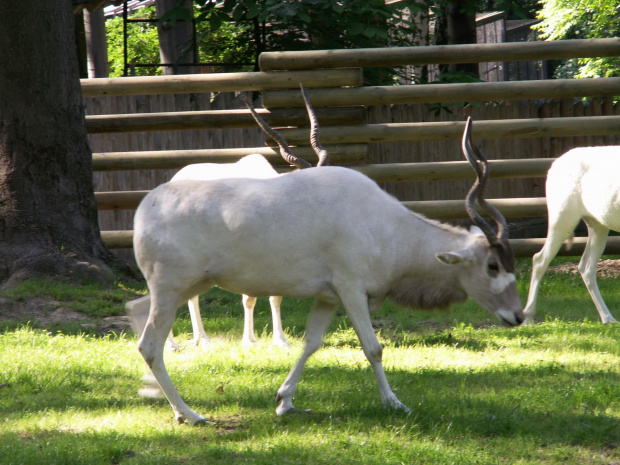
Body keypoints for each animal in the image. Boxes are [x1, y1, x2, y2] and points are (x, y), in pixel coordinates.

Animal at [524, 145, 620, 322]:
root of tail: (555, 165)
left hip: (598, 226)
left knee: (586, 267)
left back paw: (607, 318)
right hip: (562, 220)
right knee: (540, 259)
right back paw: (528, 317)